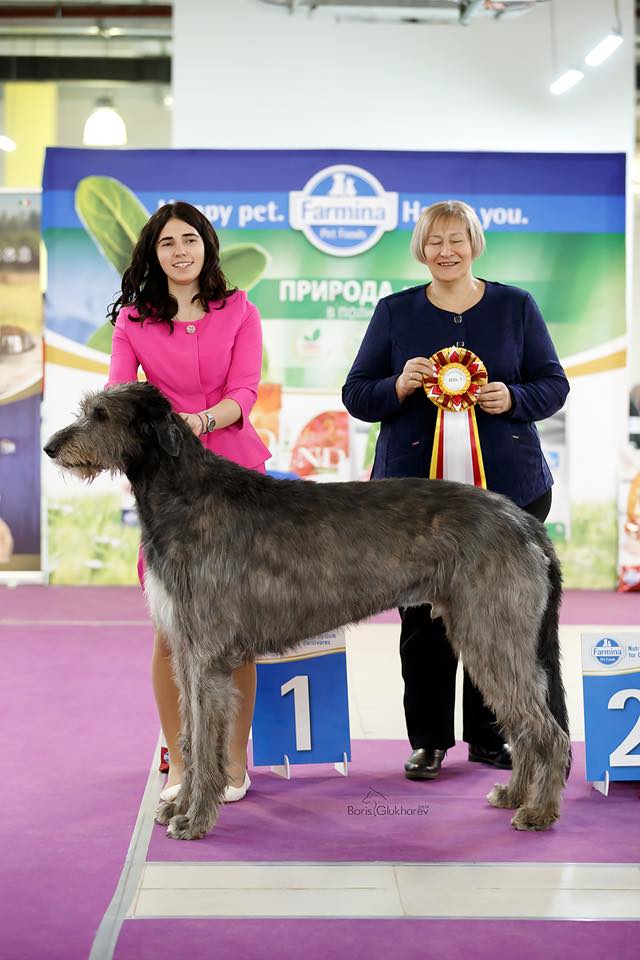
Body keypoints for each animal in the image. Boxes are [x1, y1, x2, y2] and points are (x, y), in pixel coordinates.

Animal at [47, 382, 572, 840]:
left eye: (101, 414)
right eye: (86, 408)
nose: (51, 446)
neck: (184, 495)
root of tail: (523, 521)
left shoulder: (206, 654)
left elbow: (205, 737)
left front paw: (194, 820)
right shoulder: (187, 650)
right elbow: (192, 738)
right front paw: (180, 806)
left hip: (493, 630)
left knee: (545, 729)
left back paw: (540, 812)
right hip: (491, 635)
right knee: (524, 723)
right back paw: (515, 794)